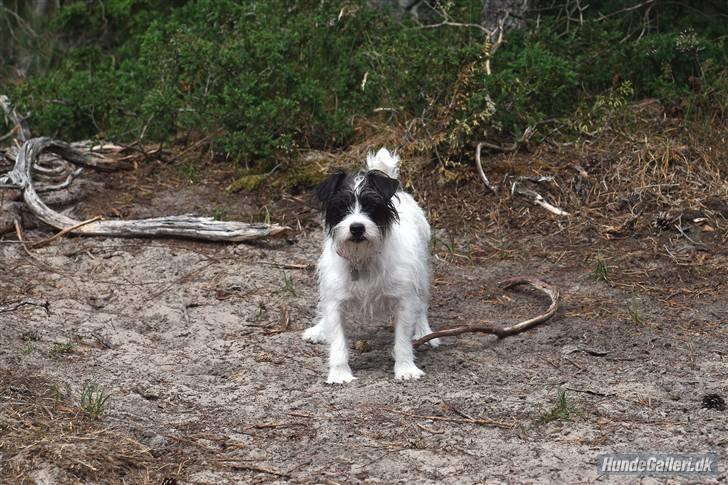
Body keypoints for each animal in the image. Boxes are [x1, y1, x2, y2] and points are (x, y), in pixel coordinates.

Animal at [302, 147, 438, 382]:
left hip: (421, 274)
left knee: (421, 305)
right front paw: (339, 373)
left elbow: (402, 339)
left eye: (371, 205)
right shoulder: (335, 302)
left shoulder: (404, 299)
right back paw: (319, 329)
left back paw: (424, 331)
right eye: (342, 206)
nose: (357, 228)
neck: (362, 259)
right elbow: (338, 341)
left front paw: (405, 368)